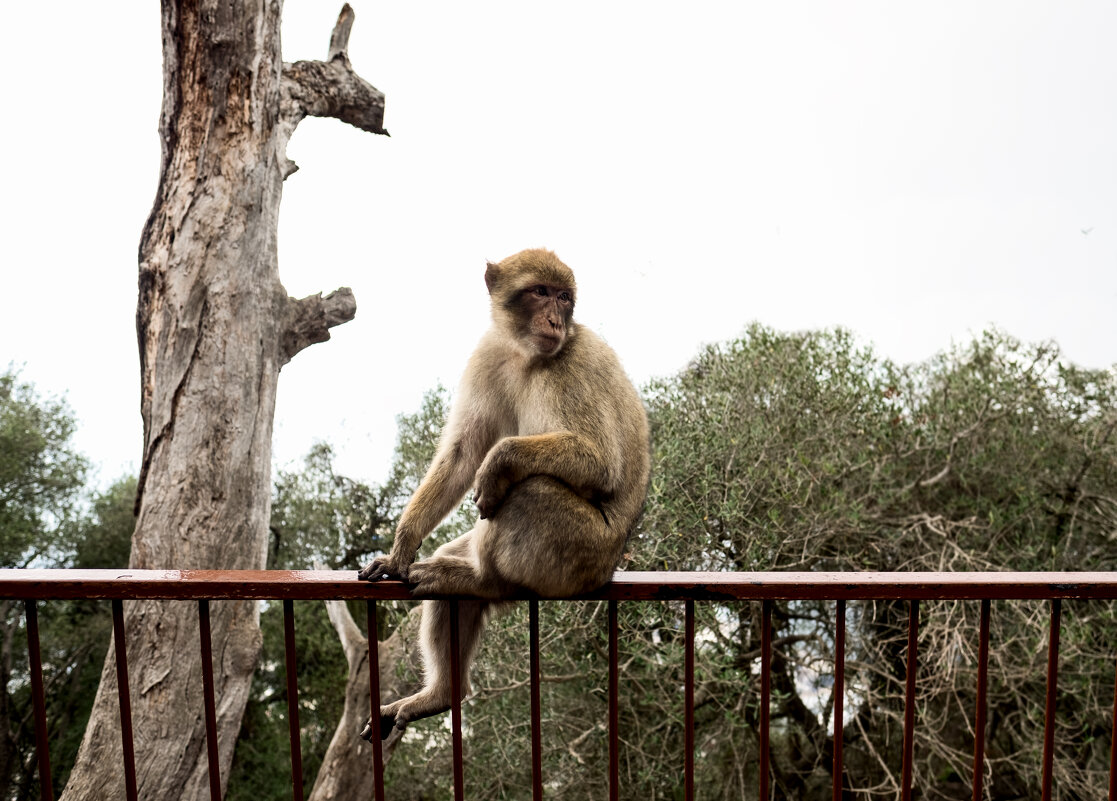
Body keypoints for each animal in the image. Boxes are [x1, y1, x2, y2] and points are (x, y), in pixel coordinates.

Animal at [357, 246, 652, 746]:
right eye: (540, 292)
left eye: (564, 298)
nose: (555, 320)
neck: (525, 354)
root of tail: (612, 563)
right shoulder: (488, 355)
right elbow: (461, 455)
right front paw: (401, 547)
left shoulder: (571, 364)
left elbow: (599, 462)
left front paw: (498, 462)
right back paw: (442, 693)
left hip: (578, 553)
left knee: (530, 490)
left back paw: (485, 580)